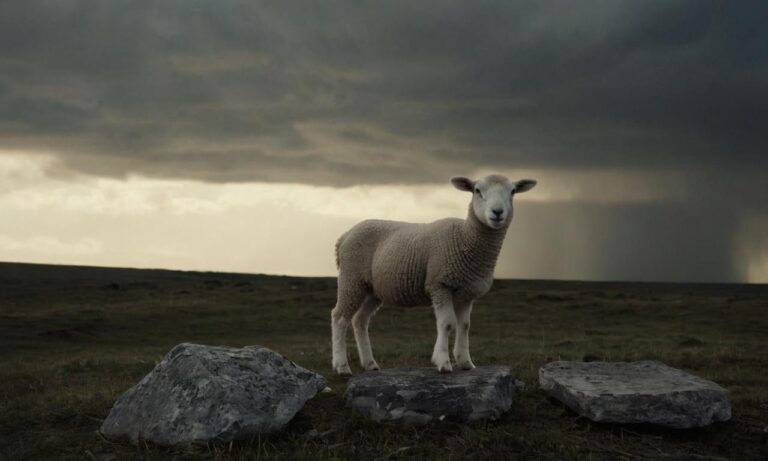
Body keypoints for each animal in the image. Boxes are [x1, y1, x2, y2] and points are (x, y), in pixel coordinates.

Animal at [332, 173, 536, 374]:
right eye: (477, 190)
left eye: (513, 191)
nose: (497, 212)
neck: (465, 239)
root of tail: (345, 235)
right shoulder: (440, 284)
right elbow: (447, 323)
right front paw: (443, 362)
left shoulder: (466, 292)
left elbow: (464, 326)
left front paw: (466, 362)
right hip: (351, 279)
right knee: (339, 318)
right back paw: (342, 366)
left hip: (372, 289)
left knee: (360, 320)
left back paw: (370, 363)